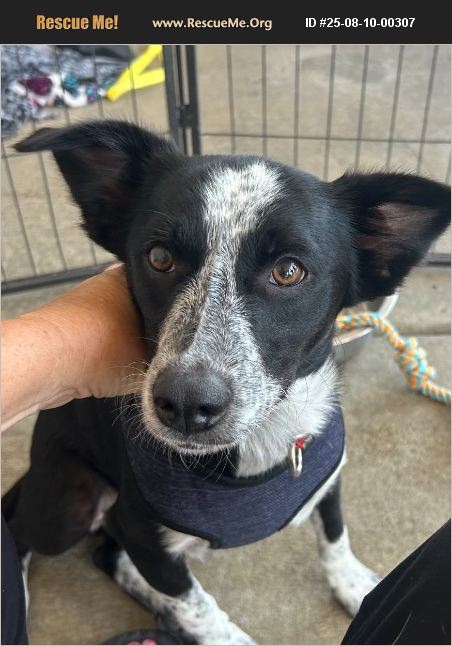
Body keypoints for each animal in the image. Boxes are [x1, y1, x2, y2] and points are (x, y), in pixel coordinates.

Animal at [3, 120, 450, 645]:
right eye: (159, 257)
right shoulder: (142, 533)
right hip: (73, 500)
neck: (261, 443)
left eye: (289, 270)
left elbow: (335, 537)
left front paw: (355, 585)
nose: (185, 403)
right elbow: (198, 604)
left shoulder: (329, 479)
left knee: (107, 554)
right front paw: (220, 633)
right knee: (24, 530)